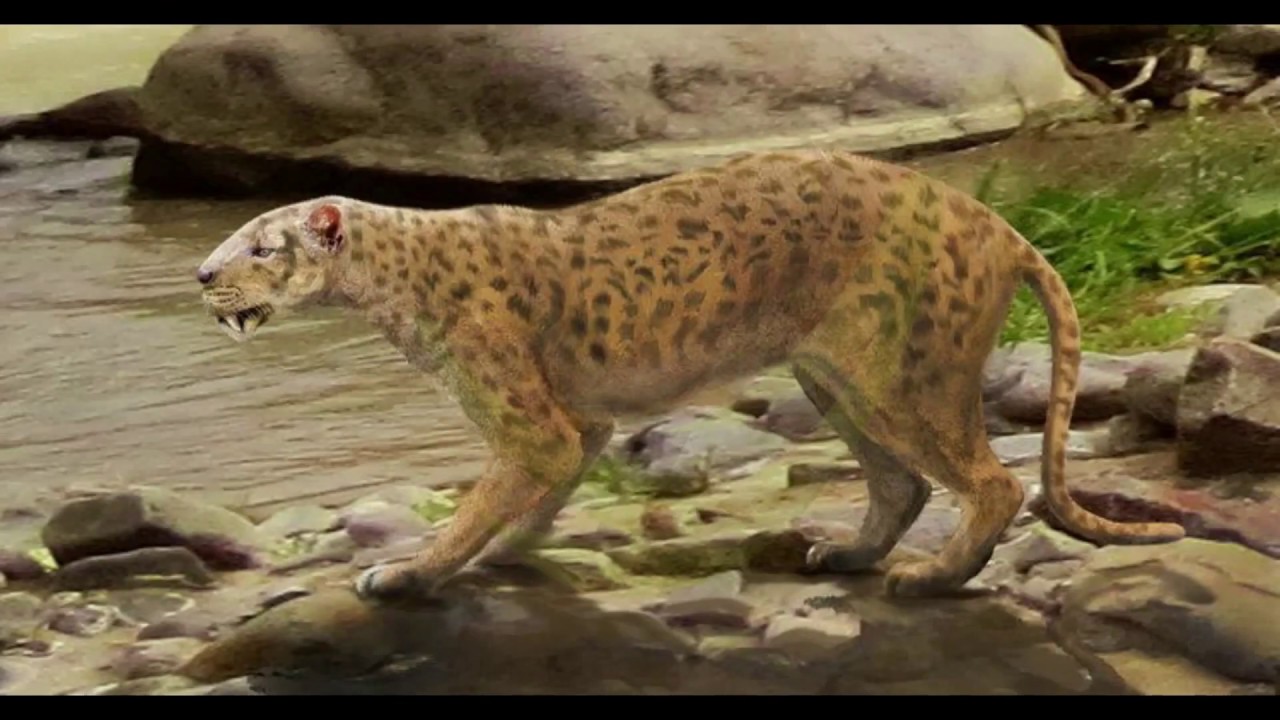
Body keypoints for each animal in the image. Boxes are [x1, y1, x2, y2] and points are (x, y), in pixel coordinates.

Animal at [195, 149, 1186, 604]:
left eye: (260, 244)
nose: (202, 274)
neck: (394, 269)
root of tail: (999, 223)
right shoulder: (579, 424)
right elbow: (543, 494)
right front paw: (514, 554)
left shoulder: (532, 427)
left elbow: (481, 504)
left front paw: (406, 574)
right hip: (838, 379)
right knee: (903, 484)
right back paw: (853, 555)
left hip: (900, 378)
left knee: (992, 482)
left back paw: (931, 576)